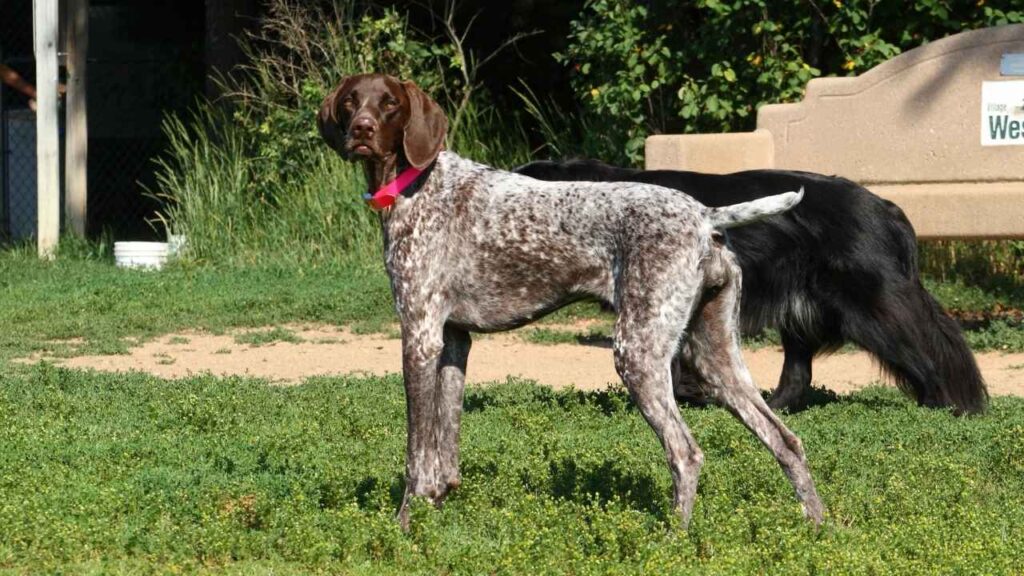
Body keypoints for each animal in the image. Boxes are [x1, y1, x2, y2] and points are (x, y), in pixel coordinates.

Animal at [315, 72, 827, 528]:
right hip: (716, 357)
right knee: (787, 441)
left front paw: (405, 525)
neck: (416, 185)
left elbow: (417, 455)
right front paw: (438, 509)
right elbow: (446, 447)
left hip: (639, 351)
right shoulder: (454, 340)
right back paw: (819, 525)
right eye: (351, 101)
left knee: (686, 453)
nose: (361, 129)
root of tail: (704, 214)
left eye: (389, 104)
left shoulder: (419, 336)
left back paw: (672, 537)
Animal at [516, 156, 987, 412]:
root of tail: (885, 205)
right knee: (798, 374)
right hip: (804, 308)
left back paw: (948, 403)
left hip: (871, 303)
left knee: (931, 345)